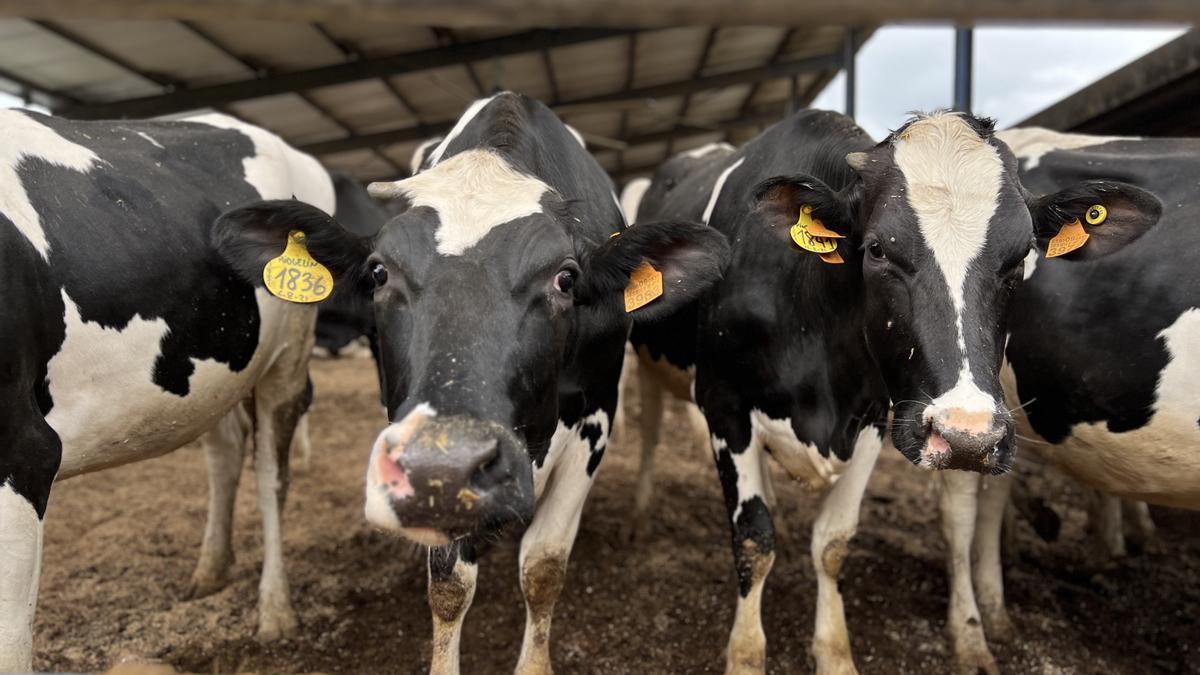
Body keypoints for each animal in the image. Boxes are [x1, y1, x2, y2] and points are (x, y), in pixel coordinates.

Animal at [0, 110, 333, 667]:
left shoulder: (23, 453)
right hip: (210, 365)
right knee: (225, 451)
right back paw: (211, 570)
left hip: (289, 353)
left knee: (271, 473)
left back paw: (275, 611)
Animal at [211, 91, 724, 667]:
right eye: (378, 272)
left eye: (566, 278)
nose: (448, 465)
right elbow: (449, 583)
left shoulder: (595, 418)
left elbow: (544, 566)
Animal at [628, 107, 1161, 667]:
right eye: (878, 249)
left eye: (1020, 258)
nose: (968, 437)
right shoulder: (725, 406)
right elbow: (754, 540)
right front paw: (745, 657)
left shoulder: (873, 416)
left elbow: (834, 542)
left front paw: (835, 655)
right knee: (650, 433)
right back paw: (640, 516)